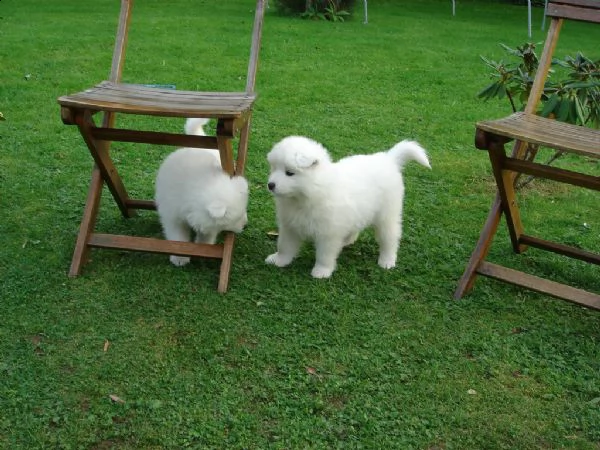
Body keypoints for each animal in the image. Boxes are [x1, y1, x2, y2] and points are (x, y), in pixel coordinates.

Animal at [156, 119, 250, 268]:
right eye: (233, 220)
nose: (244, 226)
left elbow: (207, 234)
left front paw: (203, 248)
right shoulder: (172, 216)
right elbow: (178, 237)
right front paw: (180, 257)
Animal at [266, 136, 432, 278]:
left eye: (289, 173)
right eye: (274, 168)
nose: (270, 185)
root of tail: (388, 159)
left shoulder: (328, 233)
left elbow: (324, 255)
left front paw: (321, 271)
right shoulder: (289, 226)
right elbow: (284, 246)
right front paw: (278, 260)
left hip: (387, 215)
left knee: (390, 238)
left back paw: (387, 260)